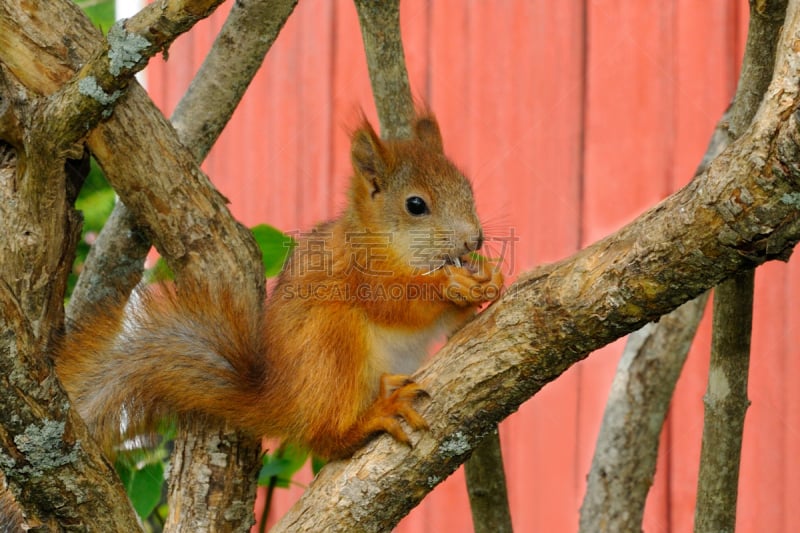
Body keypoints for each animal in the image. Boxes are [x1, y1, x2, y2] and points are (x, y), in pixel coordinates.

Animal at [56, 112, 504, 458]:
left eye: (467, 187)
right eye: (415, 205)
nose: (474, 240)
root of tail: (281, 398)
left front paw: (486, 281)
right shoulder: (354, 271)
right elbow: (393, 303)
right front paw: (450, 285)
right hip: (330, 345)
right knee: (326, 439)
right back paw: (371, 417)